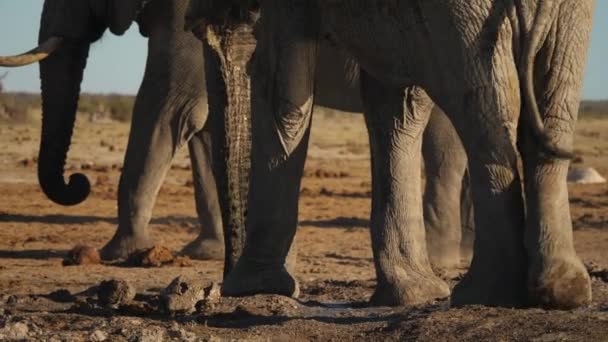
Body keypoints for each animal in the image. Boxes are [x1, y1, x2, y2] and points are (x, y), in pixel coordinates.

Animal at [188, 0, 596, 310]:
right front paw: (414, 294)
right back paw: (560, 290)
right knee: (550, 108)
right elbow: (395, 103)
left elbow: (282, 89)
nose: (216, 286)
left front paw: (253, 287)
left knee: (486, 118)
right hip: (569, 19)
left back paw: (484, 294)